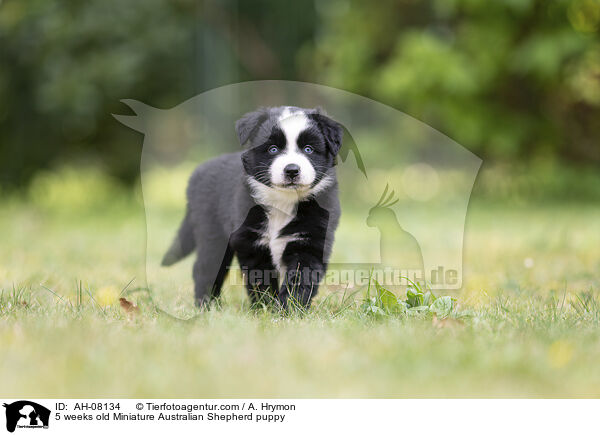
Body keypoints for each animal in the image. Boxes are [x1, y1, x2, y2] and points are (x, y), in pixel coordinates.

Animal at [162, 107, 342, 308]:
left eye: (308, 149)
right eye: (273, 149)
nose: (292, 170)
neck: (283, 201)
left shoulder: (310, 241)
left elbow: (300, 279)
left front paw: (289, 309)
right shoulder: (251, 241)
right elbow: (260, 279)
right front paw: (266, 308)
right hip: (211, 232)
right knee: (206, 267)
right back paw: (207, 306)